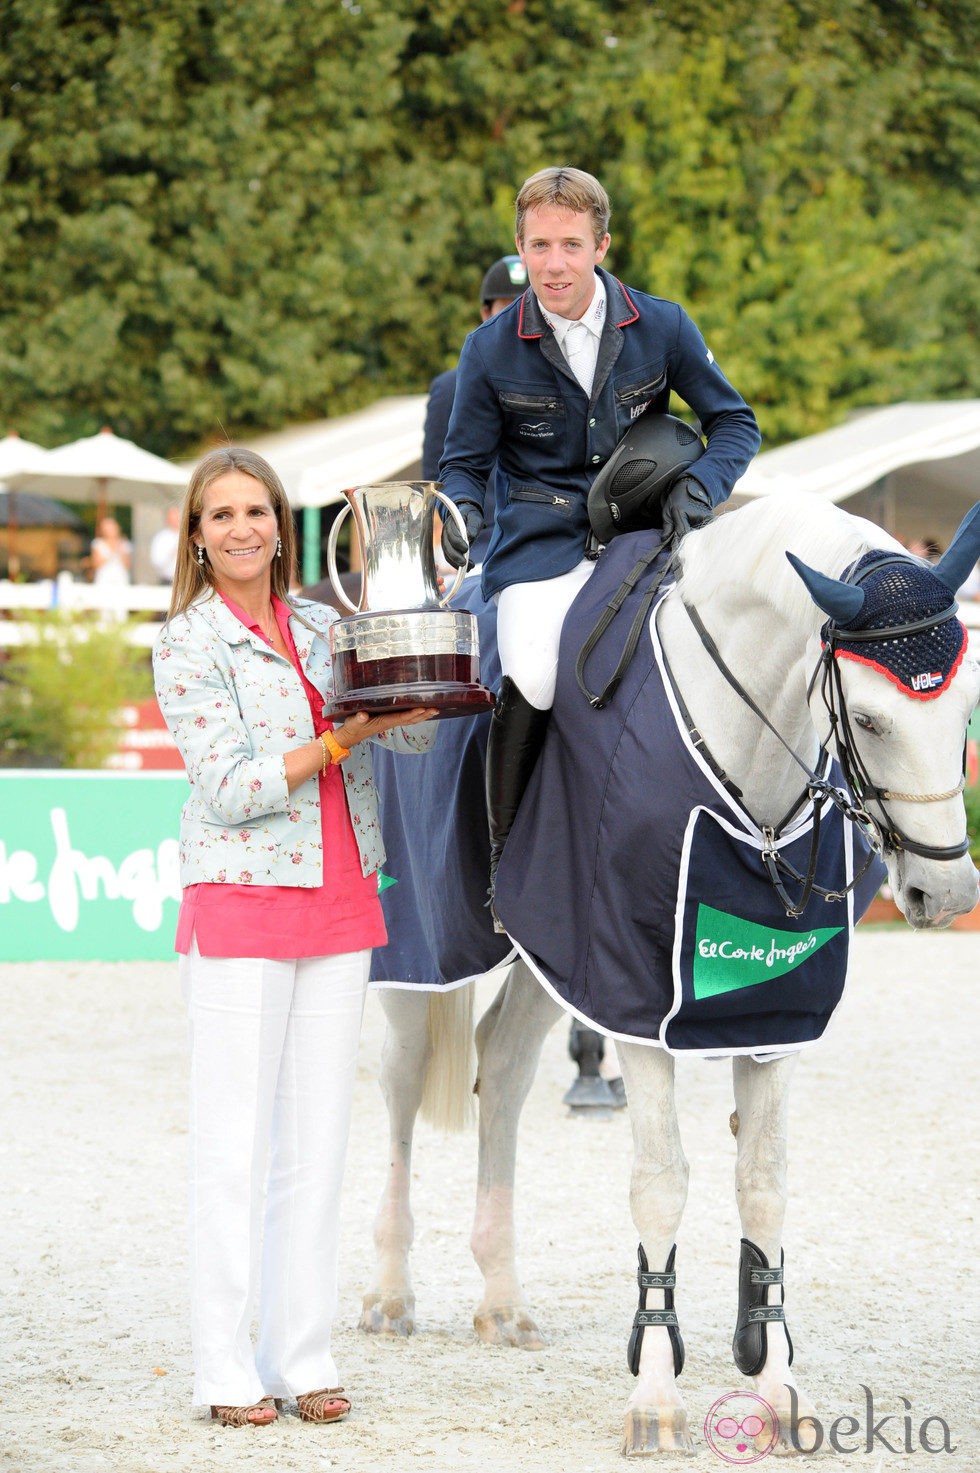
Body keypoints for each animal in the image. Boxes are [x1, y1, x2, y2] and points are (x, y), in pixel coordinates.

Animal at [361, 491, 978, 1449]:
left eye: (967, 710)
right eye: (873, 720)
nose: (947, 891)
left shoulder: (769, 1013)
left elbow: (764, 1186)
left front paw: (778, 1390)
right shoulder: (630, 994)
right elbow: (660, 1188)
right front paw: (653, 1395)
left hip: (549, 952)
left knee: (504, 1065)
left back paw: (502, 1299)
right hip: (421, 946)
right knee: (398, 1083)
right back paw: (390, 1292)